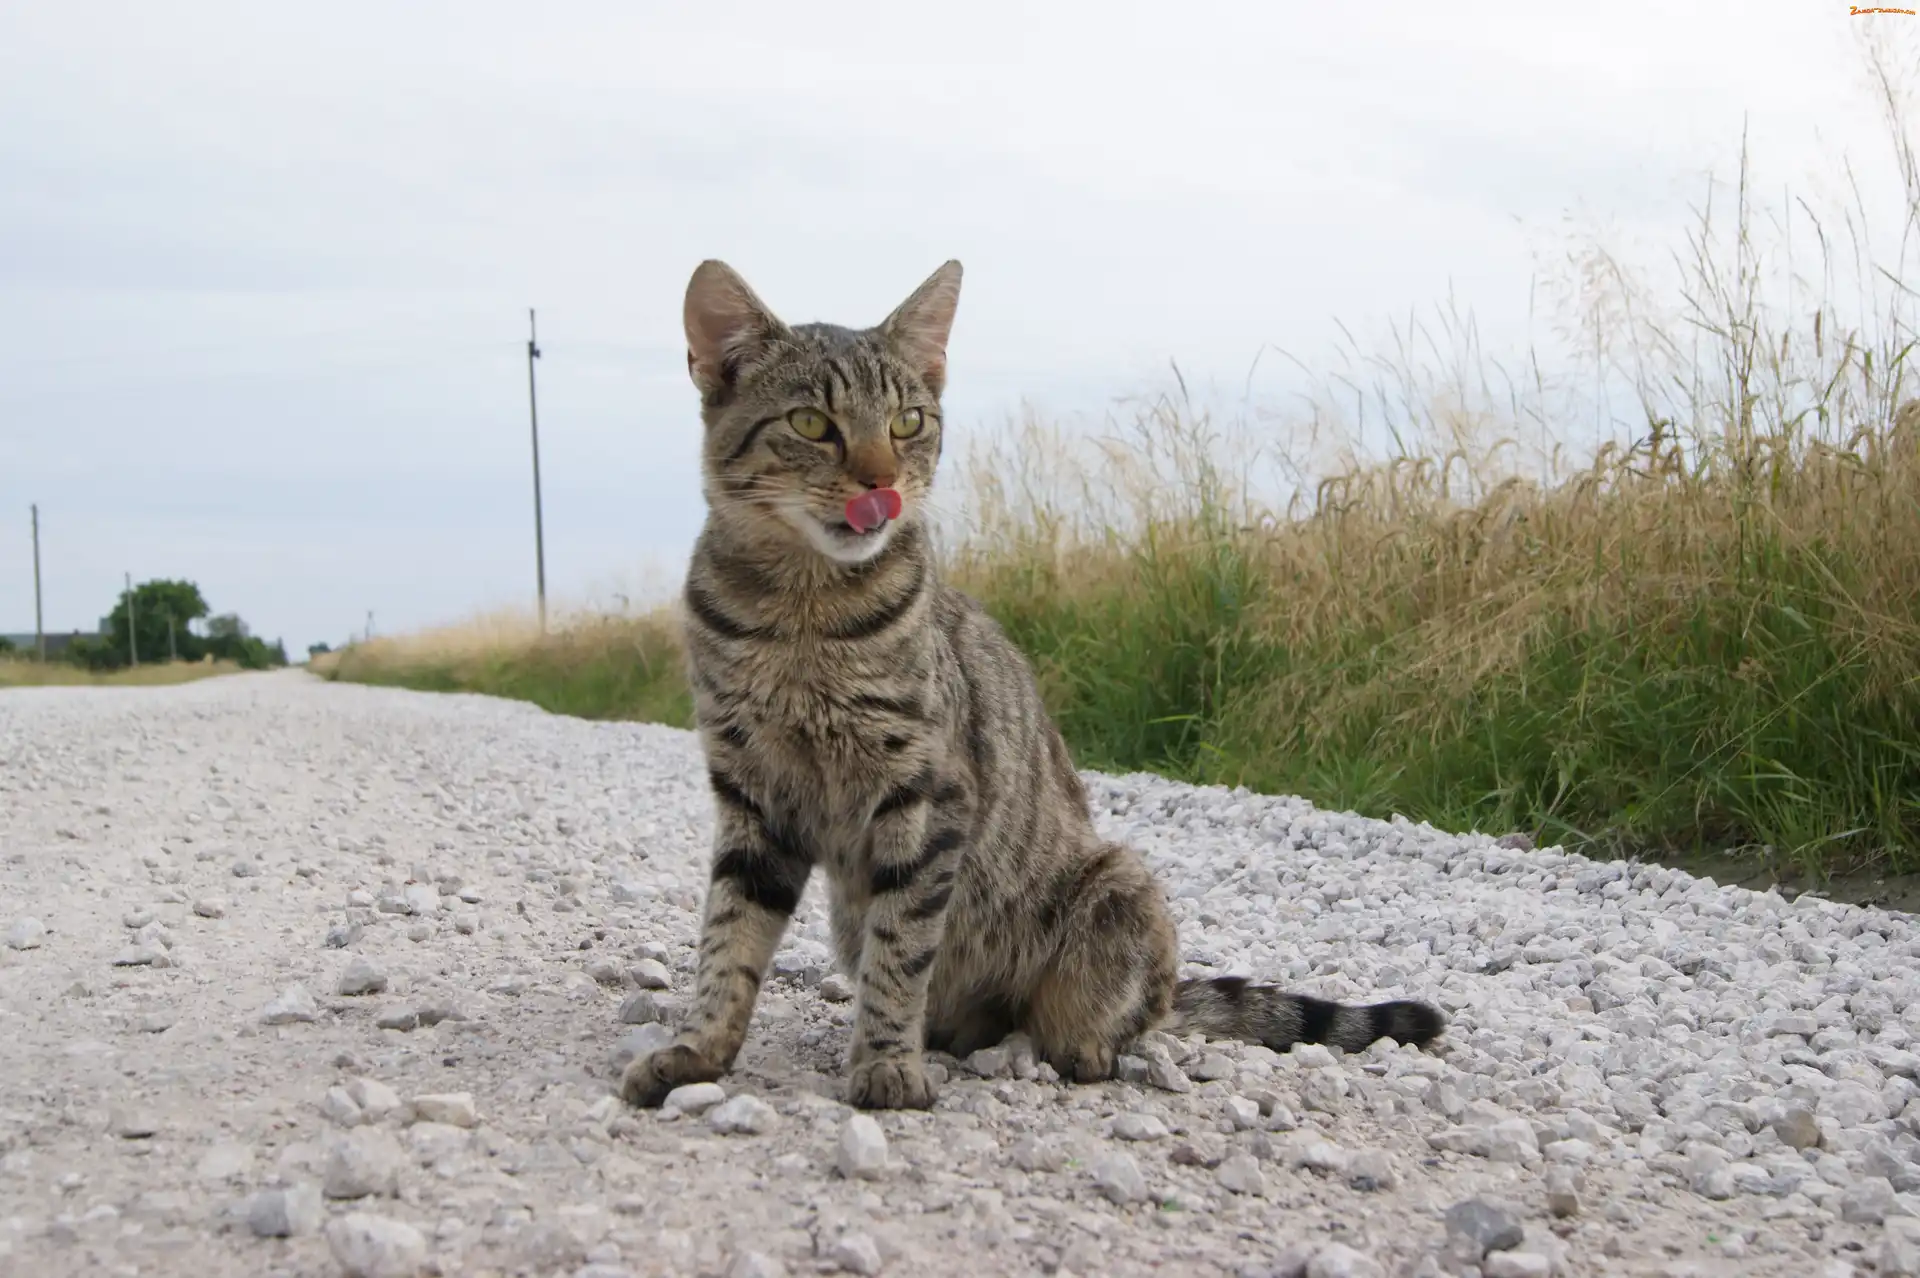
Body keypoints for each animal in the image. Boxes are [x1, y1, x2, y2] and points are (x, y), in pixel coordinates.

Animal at [620, 258, 1445, 1110]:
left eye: (908, 423)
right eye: (813, 424)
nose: (883, 481)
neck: (800, 614)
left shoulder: (926, 793)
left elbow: (900, 949)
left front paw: (885, 1061)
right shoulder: (751, 792)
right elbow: (729, 938)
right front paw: (698, 1049)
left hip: (1118, 885)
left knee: (1108, 1023)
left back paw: (1066, 1044)